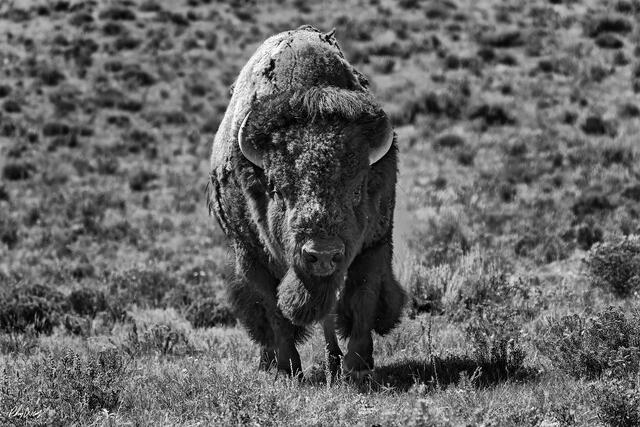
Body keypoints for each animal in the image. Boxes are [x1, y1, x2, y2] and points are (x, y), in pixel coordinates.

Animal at [208, 25, 406, 378]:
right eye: (277, 189)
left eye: (357, 190)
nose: (322, 254)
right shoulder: (251, 257)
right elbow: (273, 309)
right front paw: (289, 368)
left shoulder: (374, 244)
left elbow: (362, 297)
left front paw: (357, 363)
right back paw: (270, 362)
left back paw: (334, 360)